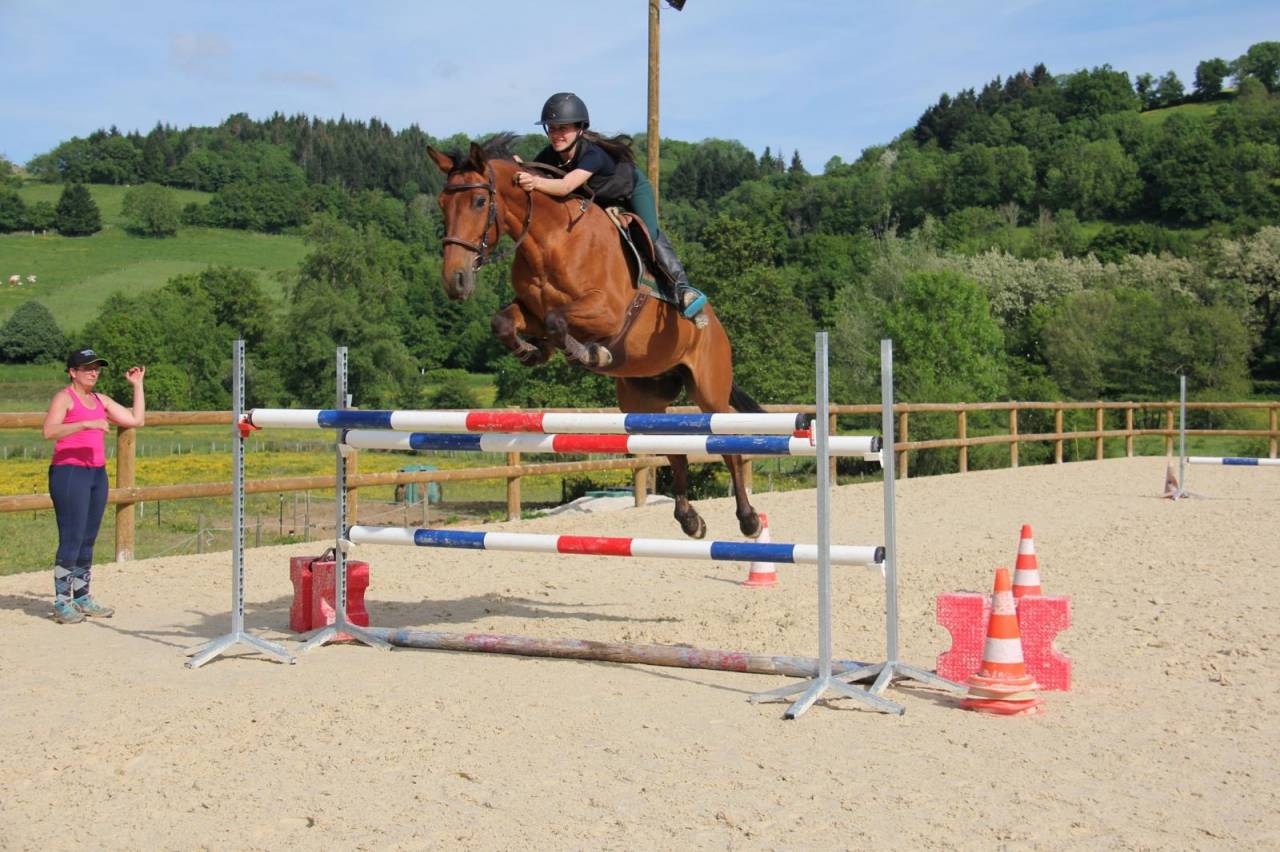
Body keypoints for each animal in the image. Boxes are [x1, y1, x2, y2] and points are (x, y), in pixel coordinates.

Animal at [426, 135, 763, 540]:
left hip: (709, 388)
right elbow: (504, 322)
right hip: (642, 401)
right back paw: (690, 519)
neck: (551, 239)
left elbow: (557, 320)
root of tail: (715, 324)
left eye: (479, 201)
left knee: (729, 446)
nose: (455, 280)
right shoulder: (530, 311)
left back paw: (749, 519)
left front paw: (589, 354)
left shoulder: (608, 311)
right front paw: (533, 352)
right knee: (673, 450)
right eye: (443, 204)